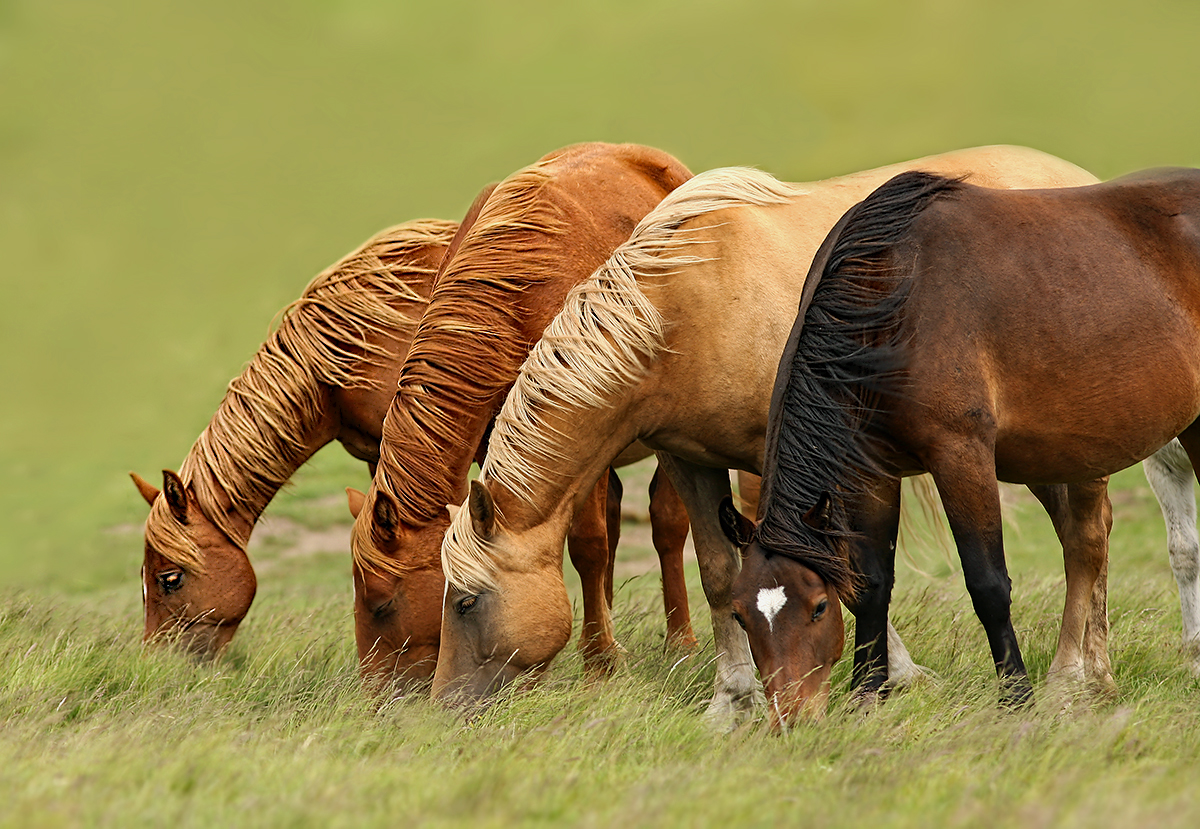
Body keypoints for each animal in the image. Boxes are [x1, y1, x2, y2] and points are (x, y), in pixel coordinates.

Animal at [350, 140, 696, 686]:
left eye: (383, 604)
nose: (375, 693)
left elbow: (588, 543)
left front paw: (600, 660)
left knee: (666, 523)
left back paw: (678, 639)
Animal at [724, 170, 1200, 724]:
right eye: (740, 614)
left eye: (819, 606)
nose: (792, 719)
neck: (891, 302)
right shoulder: (873, 471)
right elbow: (872, 584)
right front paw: (868, 695)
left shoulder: (961, 456)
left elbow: (988, 583)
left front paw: (1016, 695)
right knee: (1085, 542)